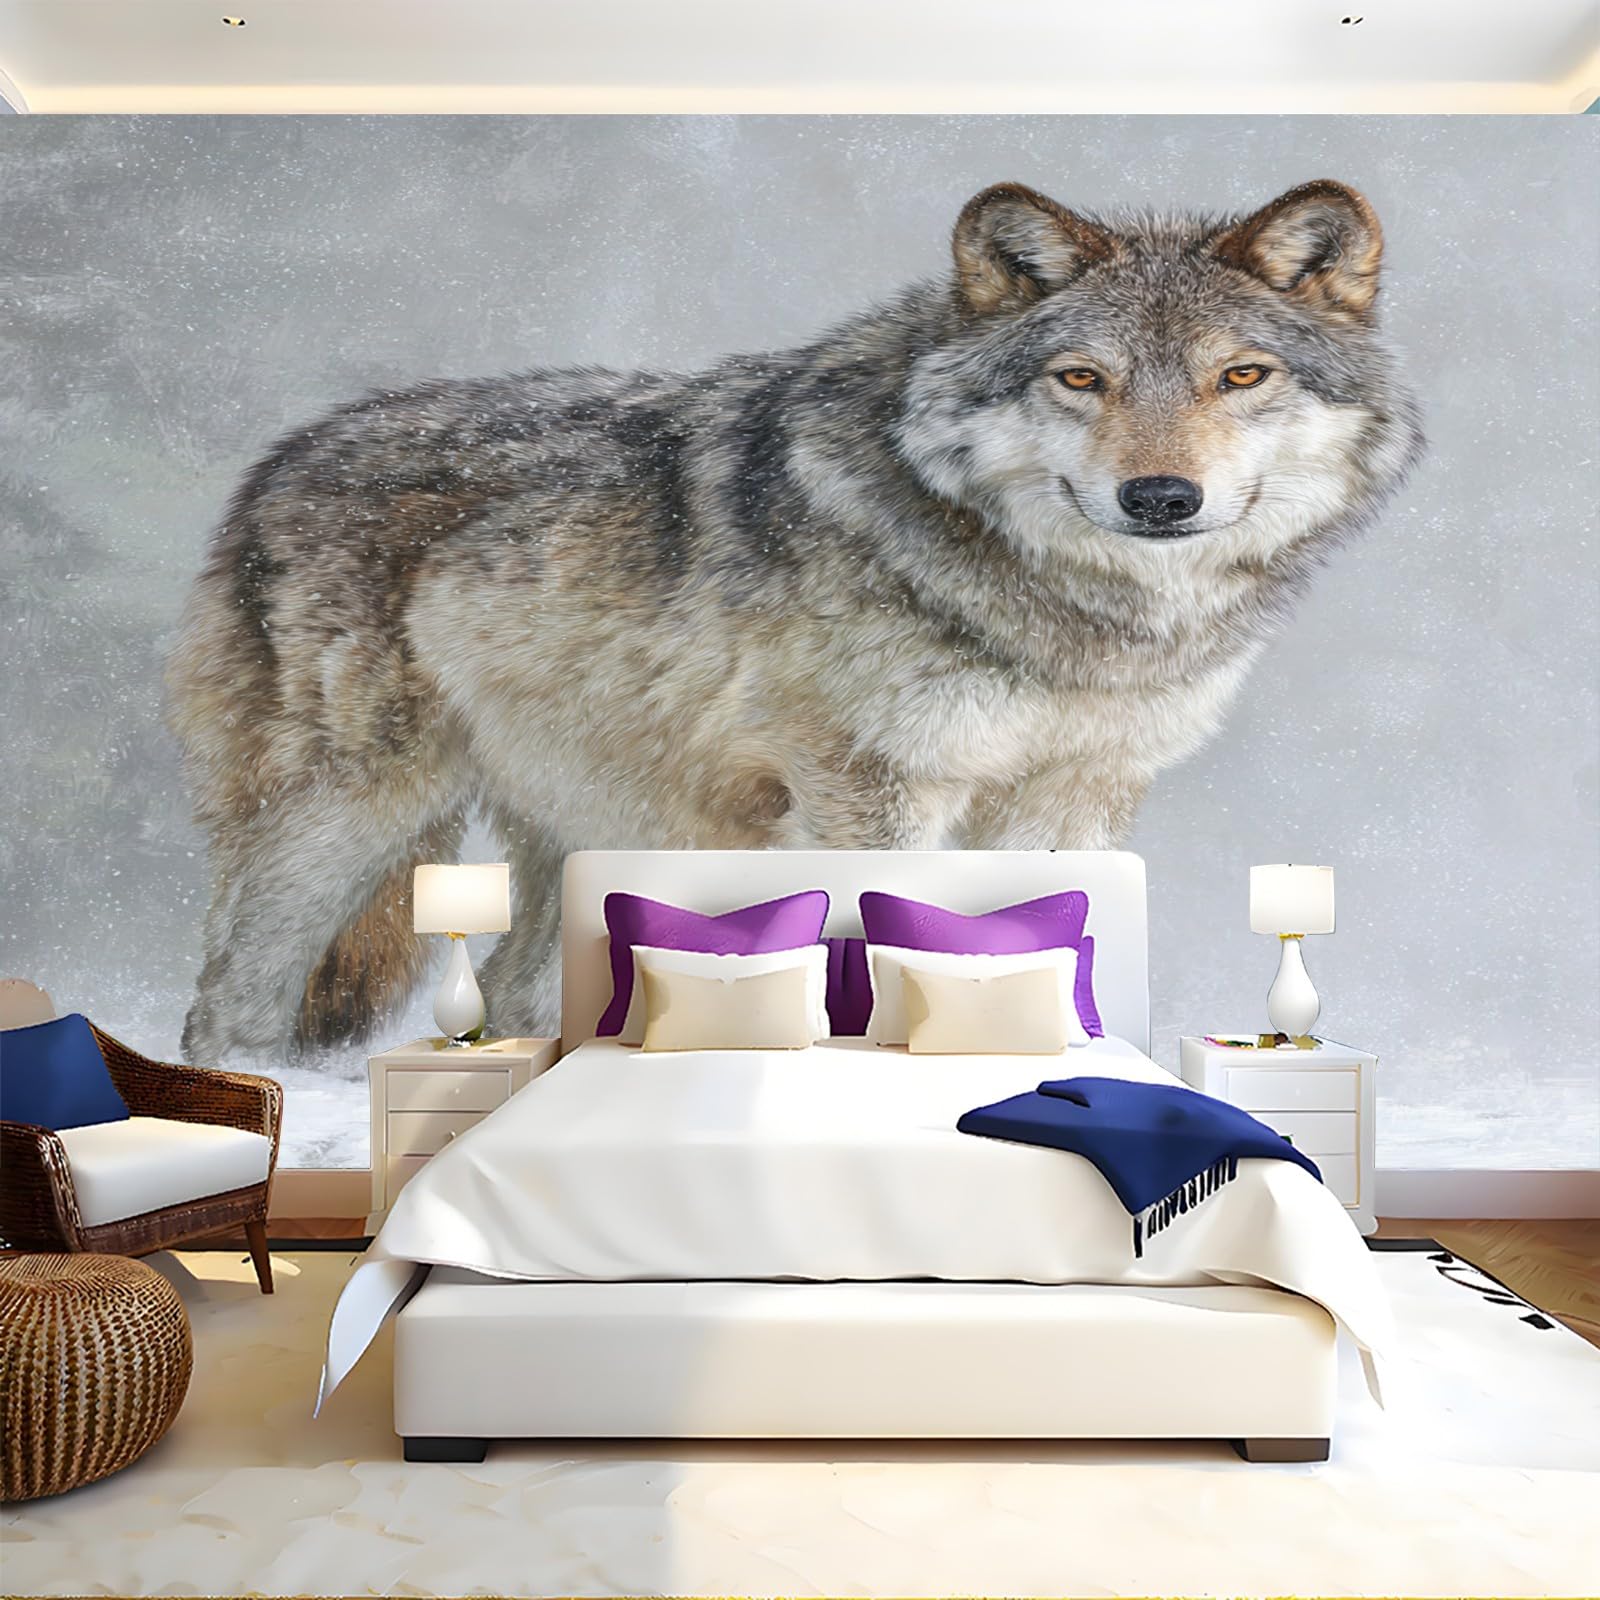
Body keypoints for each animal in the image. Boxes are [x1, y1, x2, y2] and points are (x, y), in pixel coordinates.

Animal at [167, 178, 1423, 1064]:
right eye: (1080, 379)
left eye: (1240, 375)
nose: (1160, 498)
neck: (1069, 614)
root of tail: (279, 456)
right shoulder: (869, 788)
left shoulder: (1075, 795)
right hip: (349, 812)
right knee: (227, 998)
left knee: (527, 989)